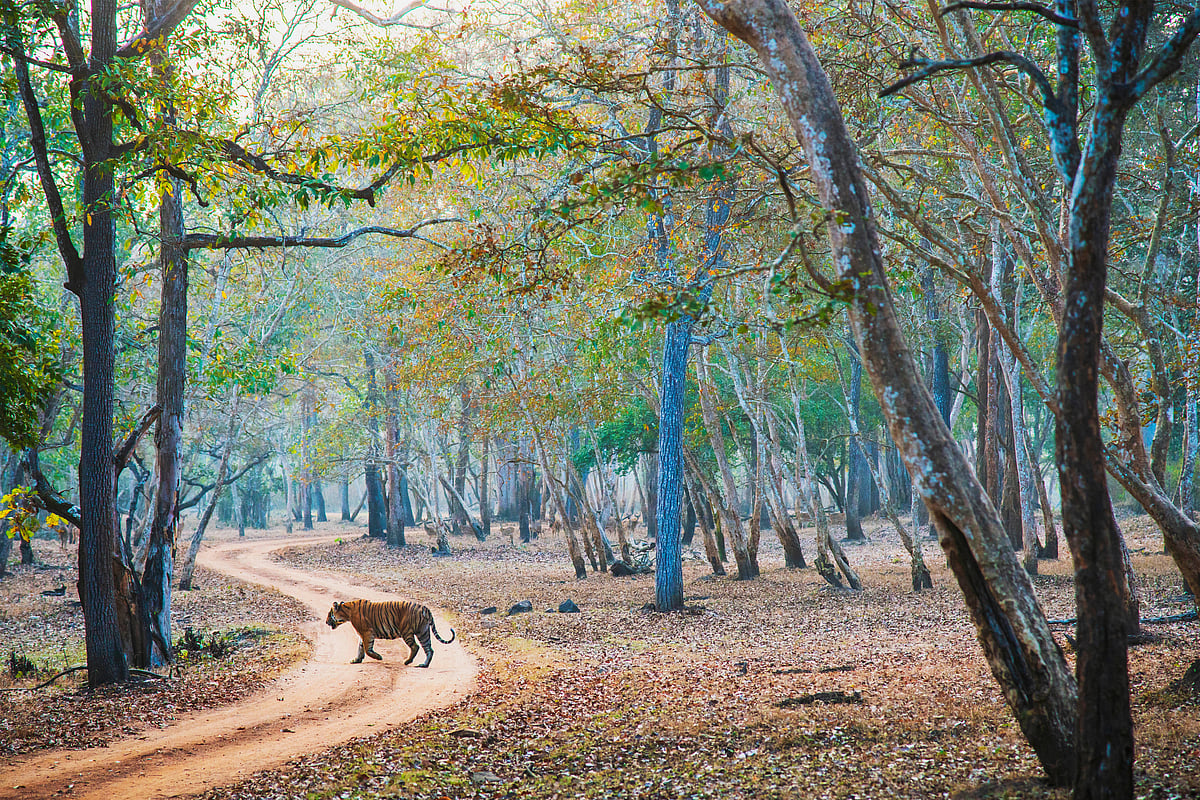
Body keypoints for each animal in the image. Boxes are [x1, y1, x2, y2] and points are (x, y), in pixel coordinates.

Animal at [325, 599, 455, 667]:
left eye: (329, 614)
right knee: (429, 649)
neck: (347, 612)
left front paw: (378, 657)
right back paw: (424, 665)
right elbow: (360, 648)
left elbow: (367, 649)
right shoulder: (363, 634)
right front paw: (356, 660)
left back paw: (407, 662)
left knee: (415, 646)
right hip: (423, 632)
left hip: (407, 631)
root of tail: (424, 608)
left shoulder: (367, 632)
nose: (326, 622)